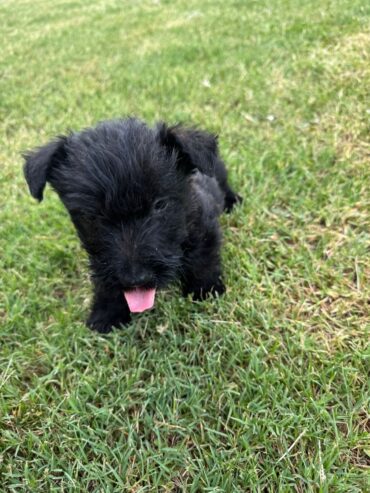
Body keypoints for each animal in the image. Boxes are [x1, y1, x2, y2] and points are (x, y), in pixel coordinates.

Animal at [24, 118, 241, 332]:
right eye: (91, 215)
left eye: (159, 205)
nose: (136, 280)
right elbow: (105, 282)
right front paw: (107, 313)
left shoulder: (204, 229)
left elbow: (203, 260)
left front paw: (205, 291)